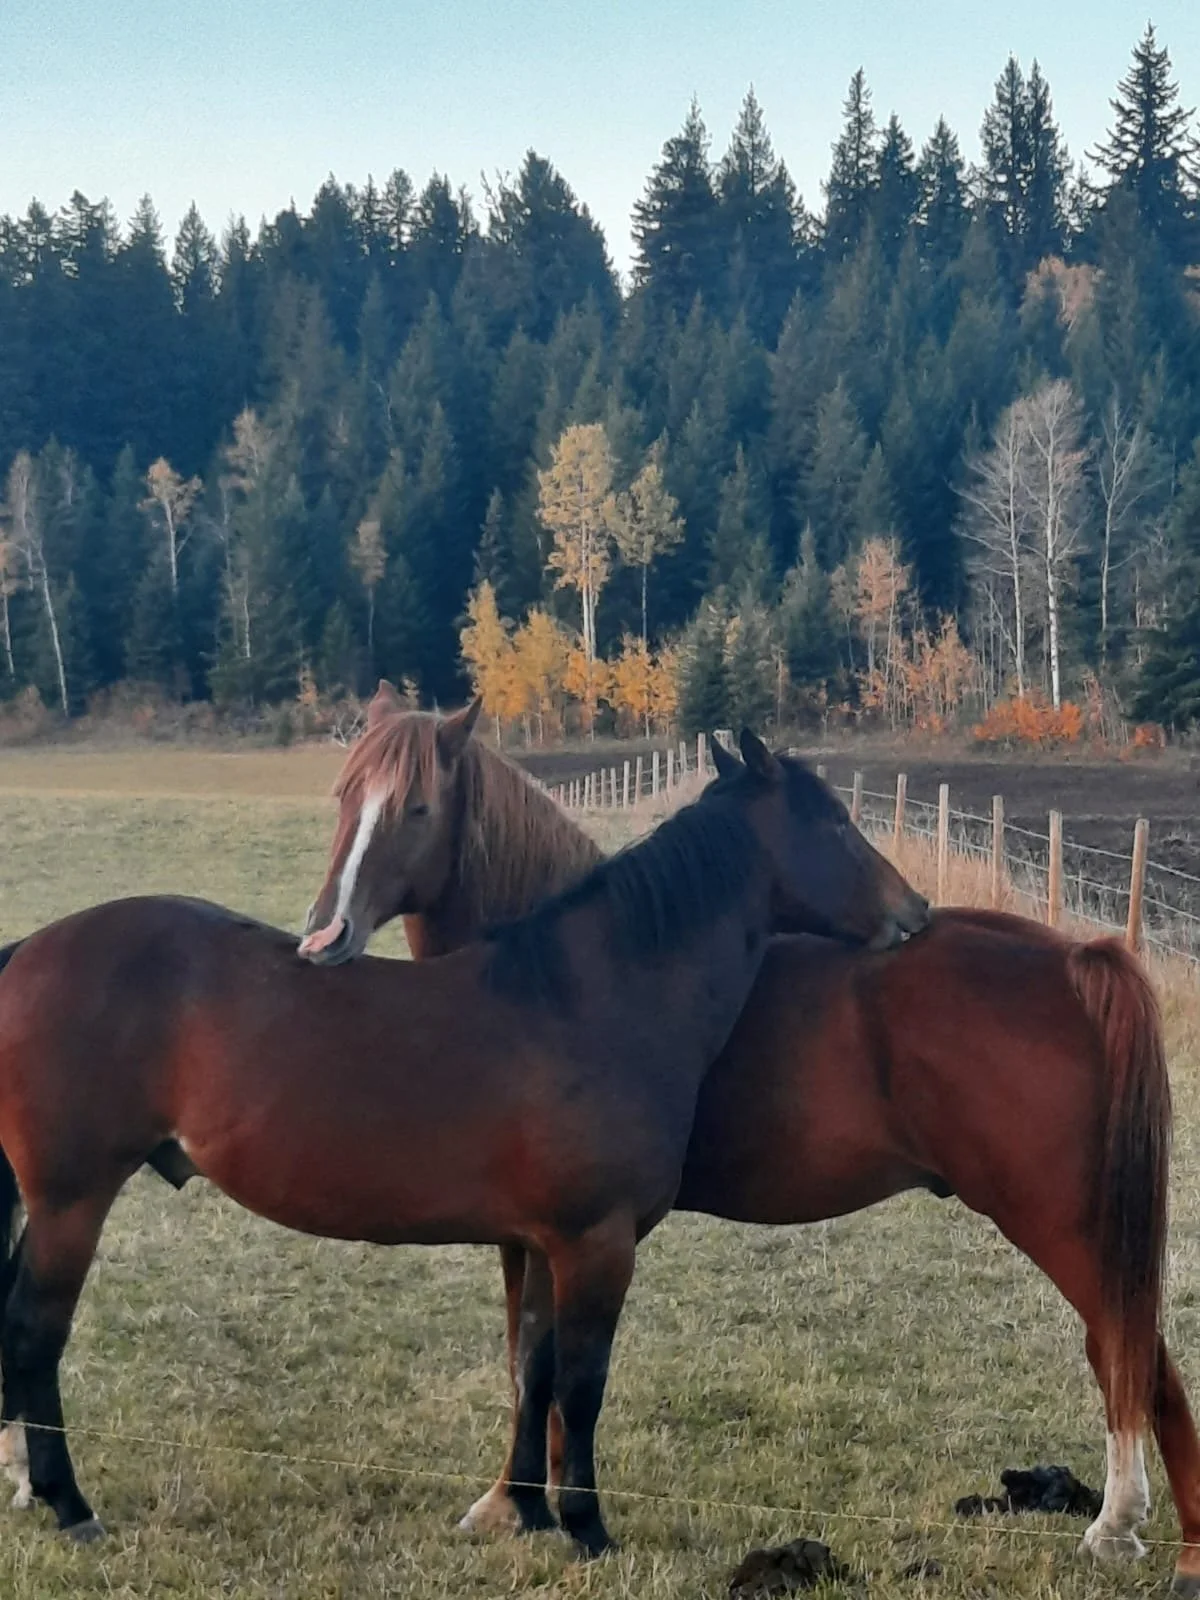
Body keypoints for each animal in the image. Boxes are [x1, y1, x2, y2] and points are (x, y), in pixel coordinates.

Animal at [0, 726, 920, 1556]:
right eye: (838, 822)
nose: (913, 913)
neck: (595, 999)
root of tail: (28, 950)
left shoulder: (543, 1243)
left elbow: (533, 1369)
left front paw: (530, 1512)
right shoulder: (597, 1242)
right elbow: (582, 1385)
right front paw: (587, 1528)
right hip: (71, 1200)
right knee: (36, 1334)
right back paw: (69, 1504)